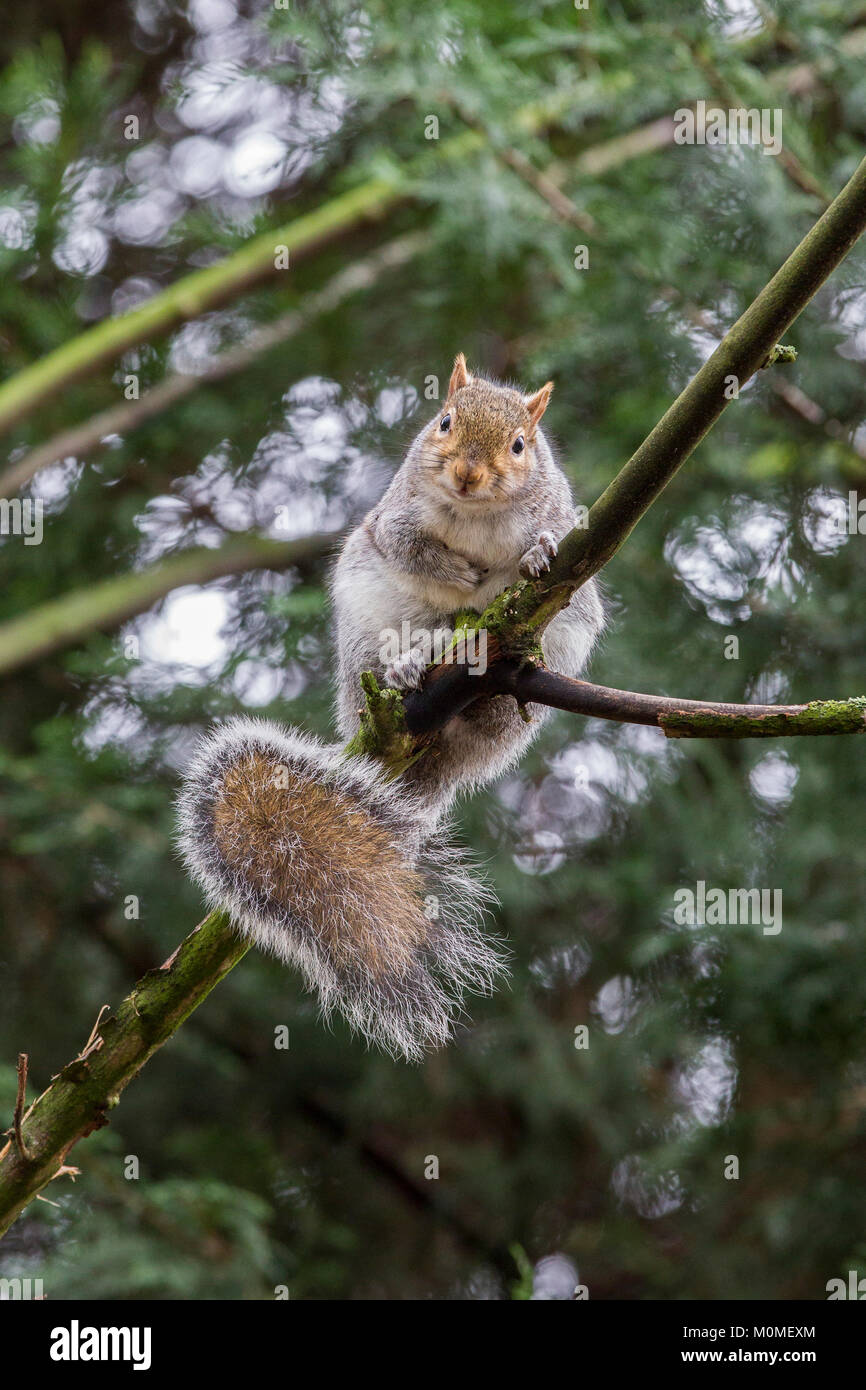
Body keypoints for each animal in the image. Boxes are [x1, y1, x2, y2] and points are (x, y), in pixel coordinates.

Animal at [177, 353, 603, 1056]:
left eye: (521, 445)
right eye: (444, 420)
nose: (466, 473)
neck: (474, 514)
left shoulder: (564, 521)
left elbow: (547, 542)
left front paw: (536, 550)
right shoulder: (393, 516)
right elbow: (407, 543)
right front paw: (451, 569)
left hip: (554, 653)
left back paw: (491, 702)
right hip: (367, 623)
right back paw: (409, 664)